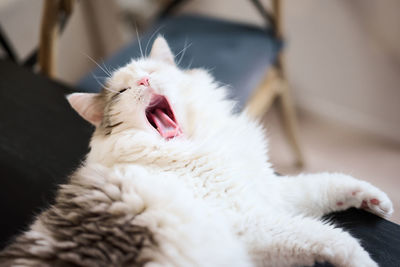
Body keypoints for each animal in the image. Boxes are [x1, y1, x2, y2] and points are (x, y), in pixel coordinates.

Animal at [0, 36, 394, 266]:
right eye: (123, 92)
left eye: (149, 71)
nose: (143, 80)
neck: (201, 145)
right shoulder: (253, 222)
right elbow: (333, 238)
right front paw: (363, 261)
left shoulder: (268, 192)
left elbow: (327, 184)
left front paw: (375, 200)